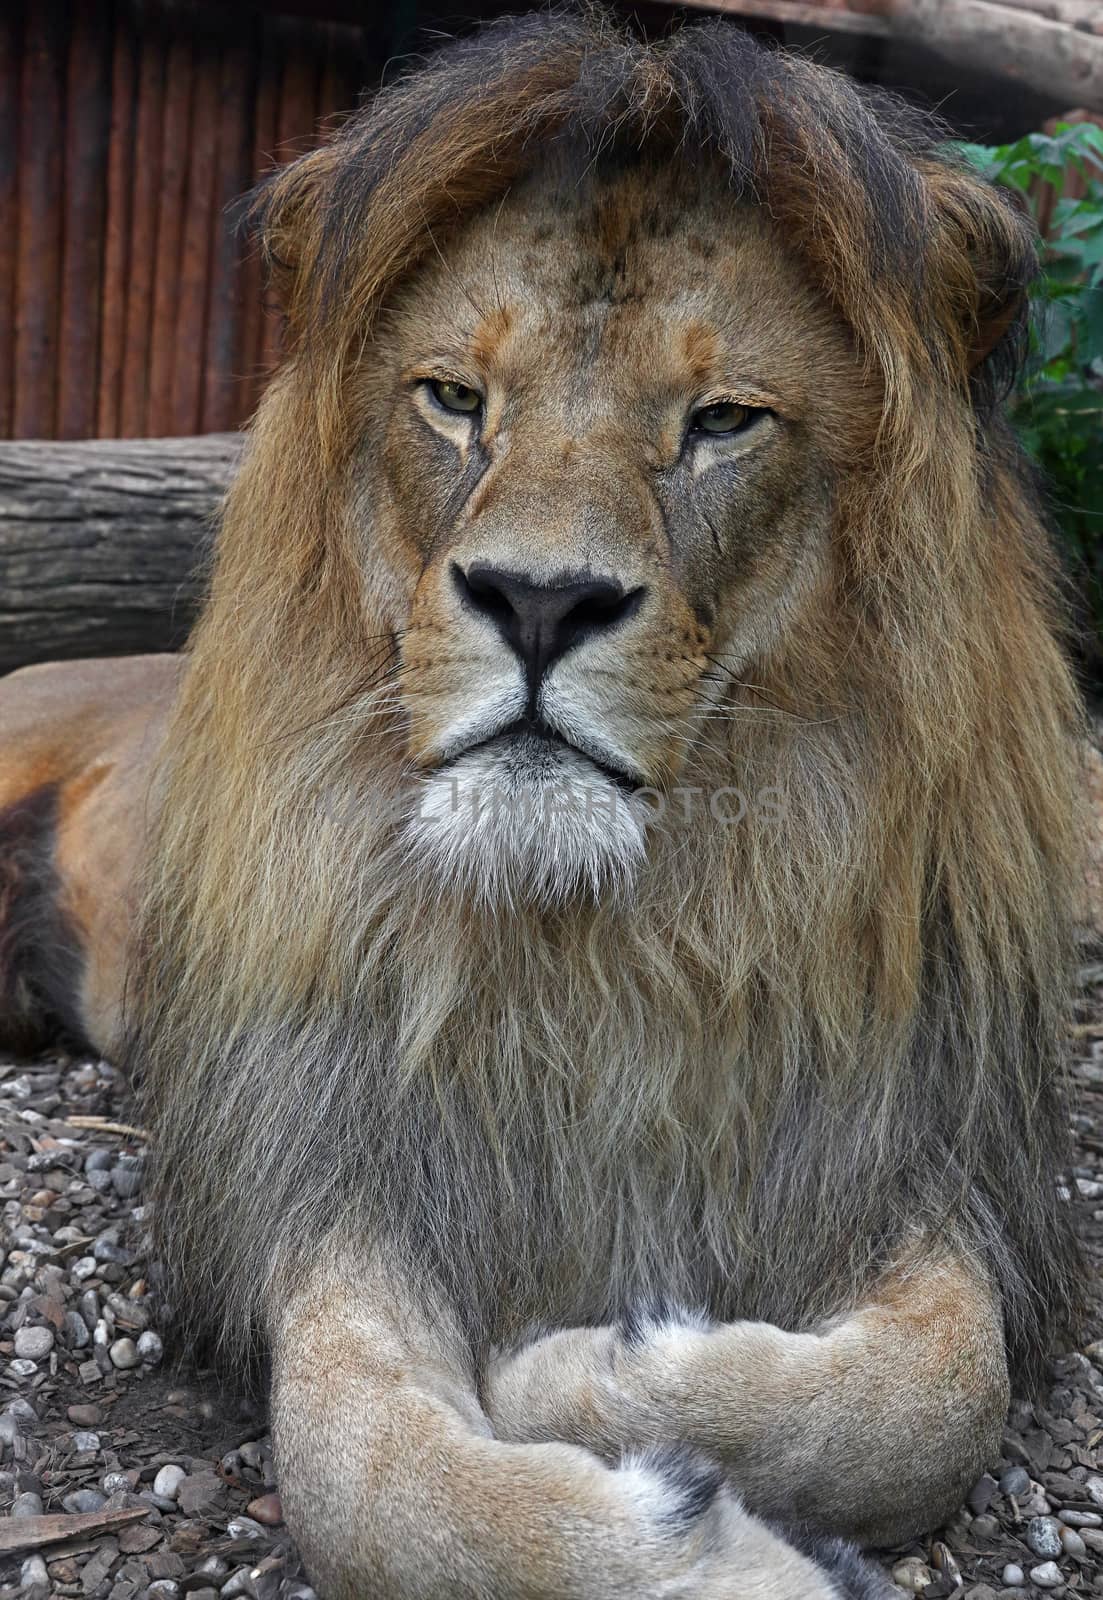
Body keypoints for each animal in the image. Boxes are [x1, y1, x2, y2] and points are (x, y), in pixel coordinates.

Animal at [0, 12, 1082, 1600]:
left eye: (720, 421)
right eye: (455, 400)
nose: (537, 600)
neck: (611, 946)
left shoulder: (911, 1156)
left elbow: (933, 1392)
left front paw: (598, 1369)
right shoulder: (336, 1176)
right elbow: (369, 1483)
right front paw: (693, 1539)